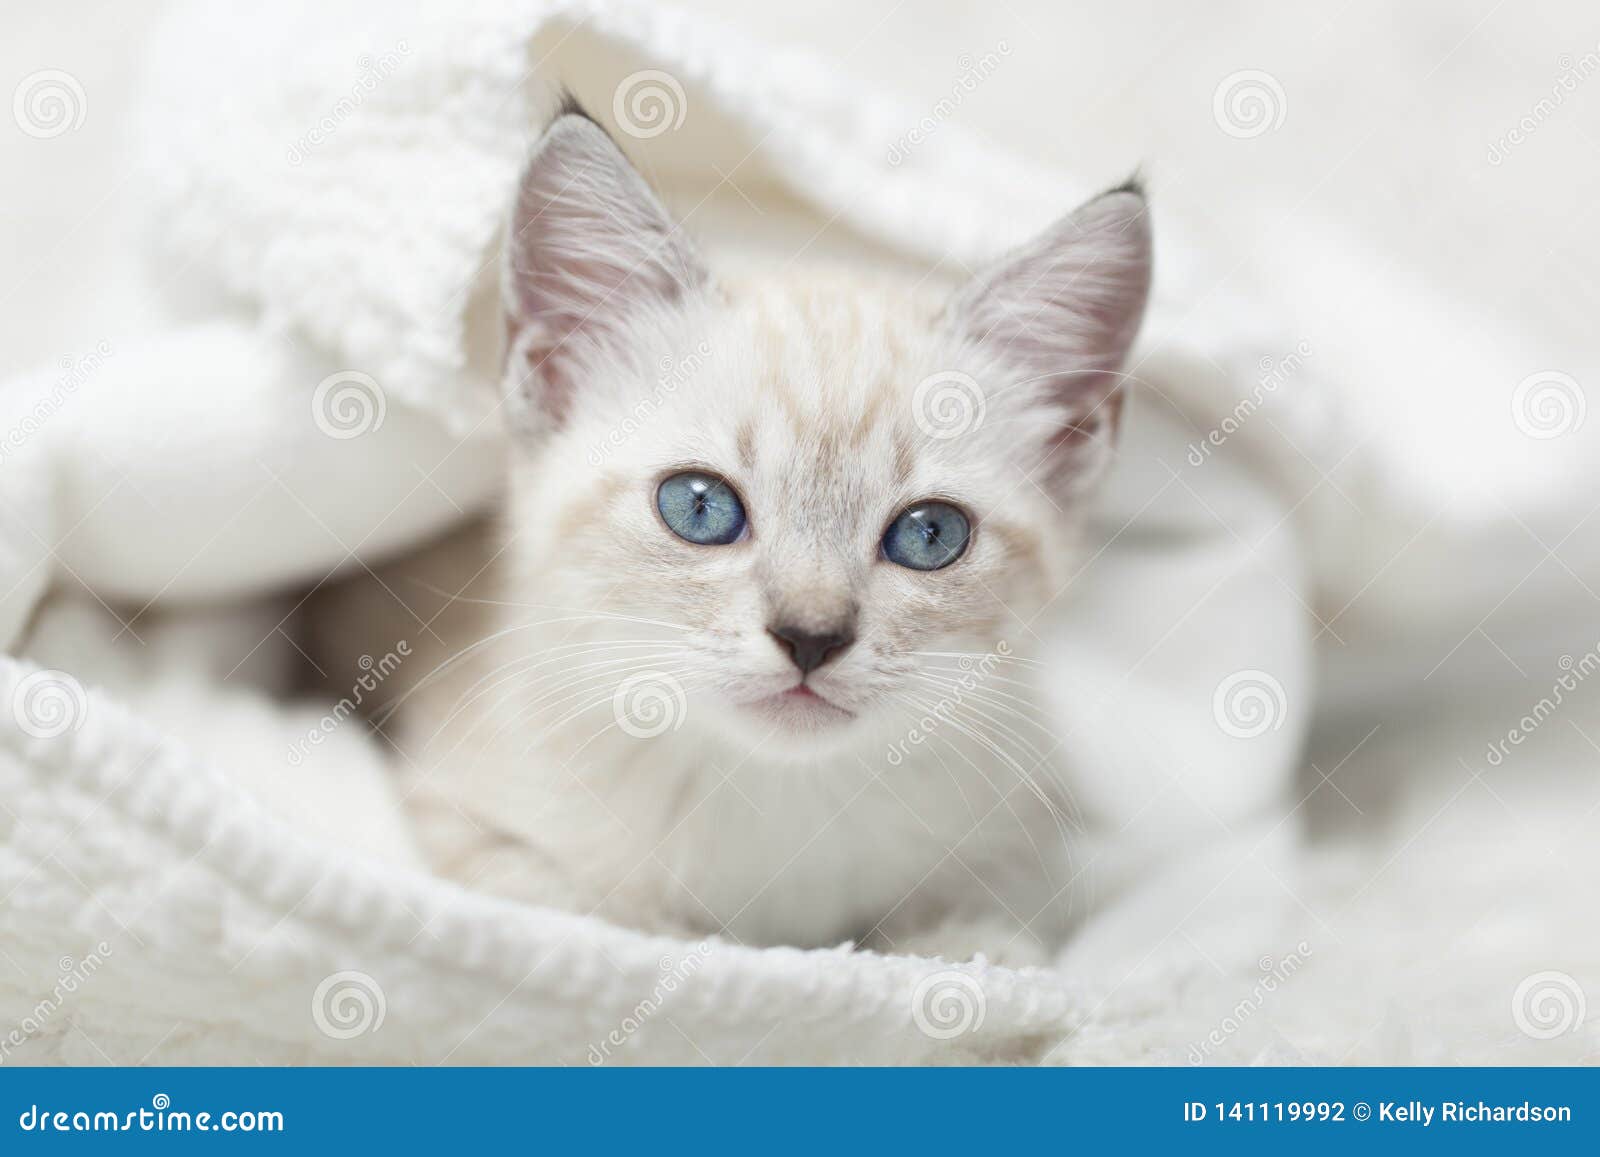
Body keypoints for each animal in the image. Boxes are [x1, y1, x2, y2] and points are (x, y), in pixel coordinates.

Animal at [368, 102, 1145, 966]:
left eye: (930, 534)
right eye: (700, 508)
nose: (811, 636)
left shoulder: (1027, 833)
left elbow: (987, 919)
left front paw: (965, 949)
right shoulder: (465, 818)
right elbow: (606, 917)